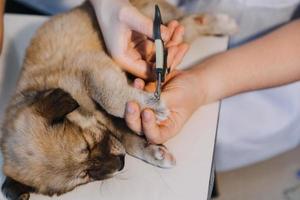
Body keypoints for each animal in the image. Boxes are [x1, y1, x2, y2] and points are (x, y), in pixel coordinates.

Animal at [0, 0, 239, 199]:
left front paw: (153, 106)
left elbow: (111, 98)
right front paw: (154, 152)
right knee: (188, 24)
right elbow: (128, 140)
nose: (121, 164)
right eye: (85, 175)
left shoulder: (92, 68)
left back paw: (223, 23)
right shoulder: (109, 125)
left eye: (88, 144)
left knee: (188, 22)